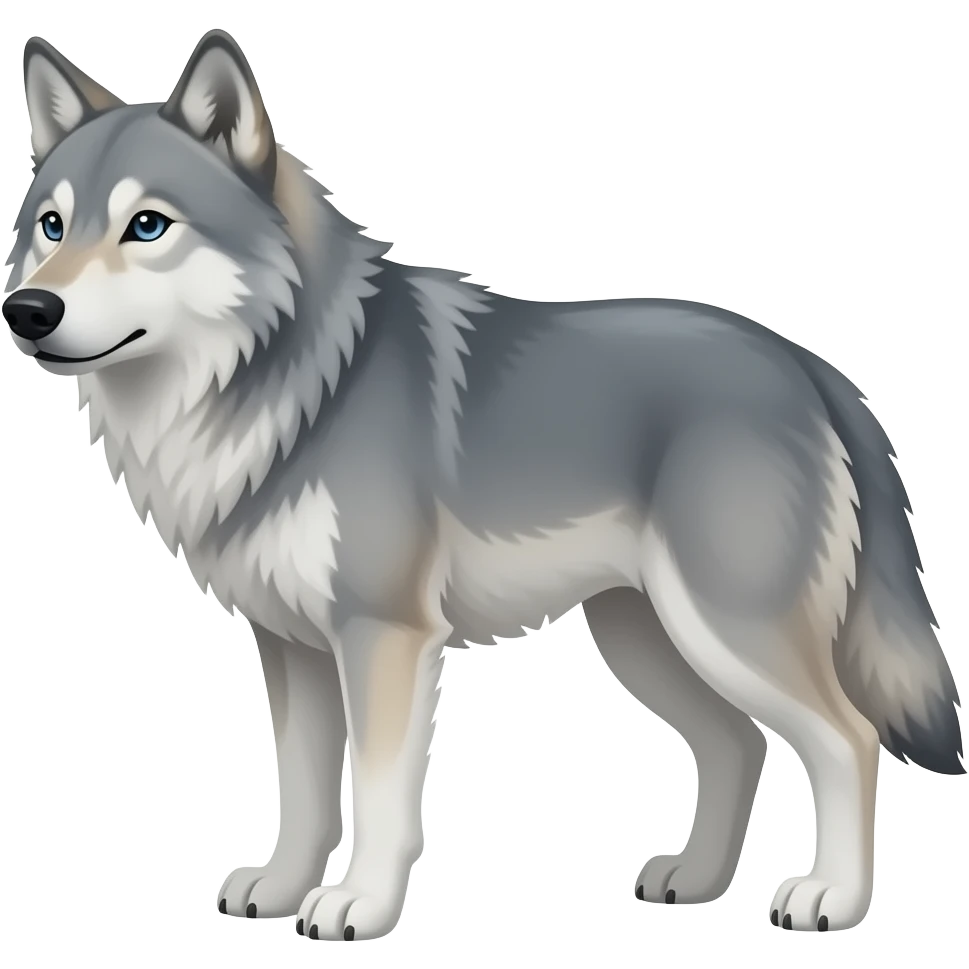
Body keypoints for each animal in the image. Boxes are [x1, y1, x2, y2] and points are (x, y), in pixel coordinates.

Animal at [2, 28, 964, 941]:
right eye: (50, 225)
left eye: (147, 226)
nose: (28, 311)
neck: (297, 384)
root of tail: (807, 365)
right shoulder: (292, 648)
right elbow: (302, 795)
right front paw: (278, 890)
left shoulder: (385, 635)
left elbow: (379, 796)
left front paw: (358, 907)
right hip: (646, 639)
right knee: (738, 743)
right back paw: (694, 880)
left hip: (726, 630)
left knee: (848, 739)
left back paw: (831, 897)